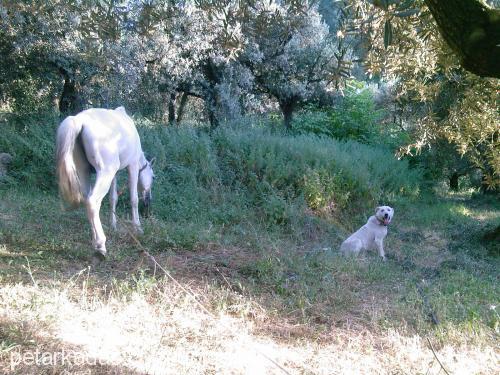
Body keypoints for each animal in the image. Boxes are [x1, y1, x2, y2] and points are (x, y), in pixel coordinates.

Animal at [55, 106, 153, 258]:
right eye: (153, 177)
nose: (149, 200)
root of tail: (80, 120)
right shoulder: (132, 166)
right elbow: (134, 199)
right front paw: (137, 228)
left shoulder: (115, 174)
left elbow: (113, 198)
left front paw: (113, 225)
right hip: (105, 172)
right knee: (92, 202)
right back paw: (100, 245)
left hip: (86, 172)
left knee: (87, 201)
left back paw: (95, 241)